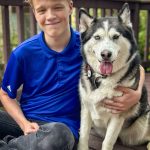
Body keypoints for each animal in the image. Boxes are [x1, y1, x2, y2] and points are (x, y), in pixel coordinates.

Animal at [78, 2, 150, 150]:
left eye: (116, 37)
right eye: (97, 37)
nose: (106, 54)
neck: (103, 78)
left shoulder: (117, 115)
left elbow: (107, 141)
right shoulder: (86, 109)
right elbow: (83, 136)